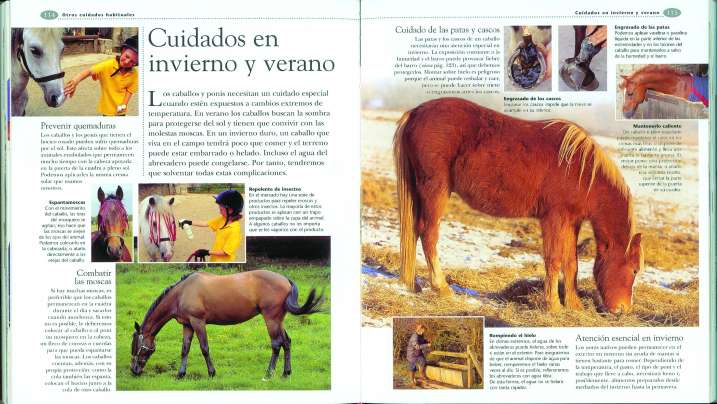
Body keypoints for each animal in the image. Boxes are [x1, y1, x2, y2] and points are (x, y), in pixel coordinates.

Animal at [130, 270, 325, 380]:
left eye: (137, 347)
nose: (134, 370)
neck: (182, 292)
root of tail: (285, 280)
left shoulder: (198, 322)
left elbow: (204, 348)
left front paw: (211, 373)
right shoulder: (188, 325)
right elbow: (185, 349)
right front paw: (180, 374)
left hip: (271, 319)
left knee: (276, 344)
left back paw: (269, 374)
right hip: (278, 320)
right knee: (287, 342)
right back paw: (286, 373)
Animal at [393, 98, 643, 314]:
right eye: (634, 269)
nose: (623, 310)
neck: (582, 170)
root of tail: (415, 112)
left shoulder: (572, 222)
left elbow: (571, 262)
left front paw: (573, 306)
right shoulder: (554, 218)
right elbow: (554, 259)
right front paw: (553, 305)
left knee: (414, 232)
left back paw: (413, 285)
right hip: (435, 190)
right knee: (429, 234)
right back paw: (442, 287)